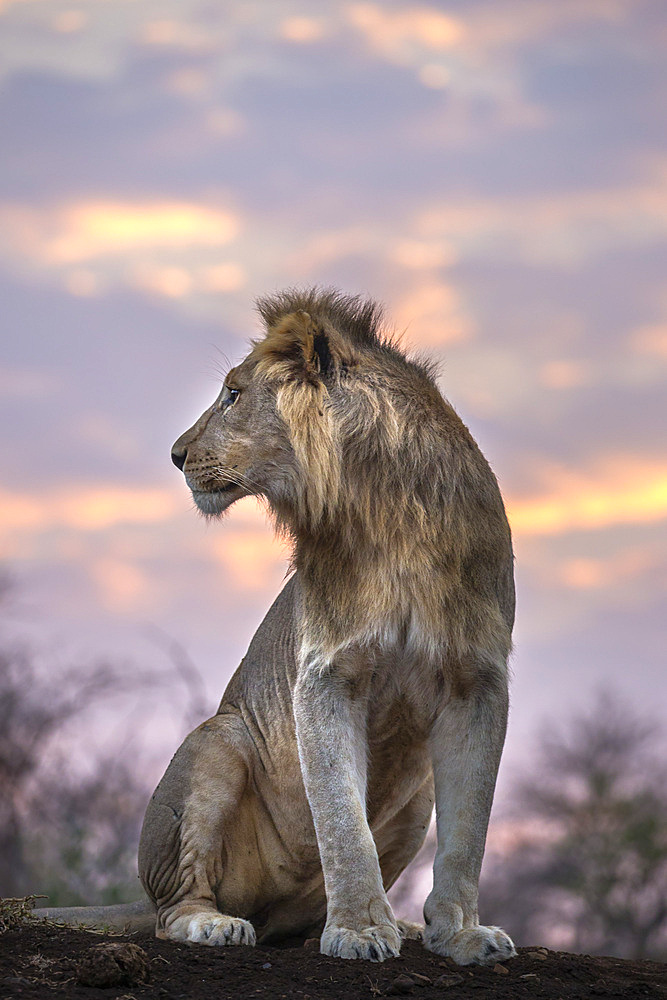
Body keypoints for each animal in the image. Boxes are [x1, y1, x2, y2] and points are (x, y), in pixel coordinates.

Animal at [34, 292, 520, 964]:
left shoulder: (479, 679)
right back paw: (214, 924)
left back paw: (397, 926)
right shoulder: (325, 674)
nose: (176, 455)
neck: (394, 513)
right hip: (221, 739)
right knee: (175, 908)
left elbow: (469, 828)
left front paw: (462, 933)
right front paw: (361, 930)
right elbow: (342, 820)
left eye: (234, 395)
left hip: (415, 798)